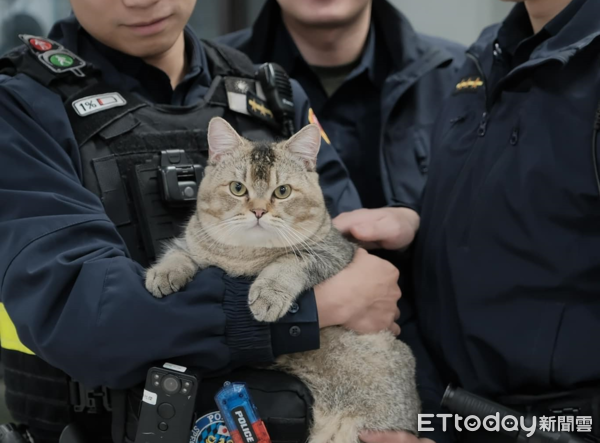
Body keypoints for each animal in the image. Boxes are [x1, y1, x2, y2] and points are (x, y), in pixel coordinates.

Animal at [144, 117, 422, 443]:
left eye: (283, 191)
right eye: (238, 188)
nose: (258, 211)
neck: (244, 255)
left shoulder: (332, 253)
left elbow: (288, 261)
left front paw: (268, 294)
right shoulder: (195, 242)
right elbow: (180, 251)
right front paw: (164, 272)